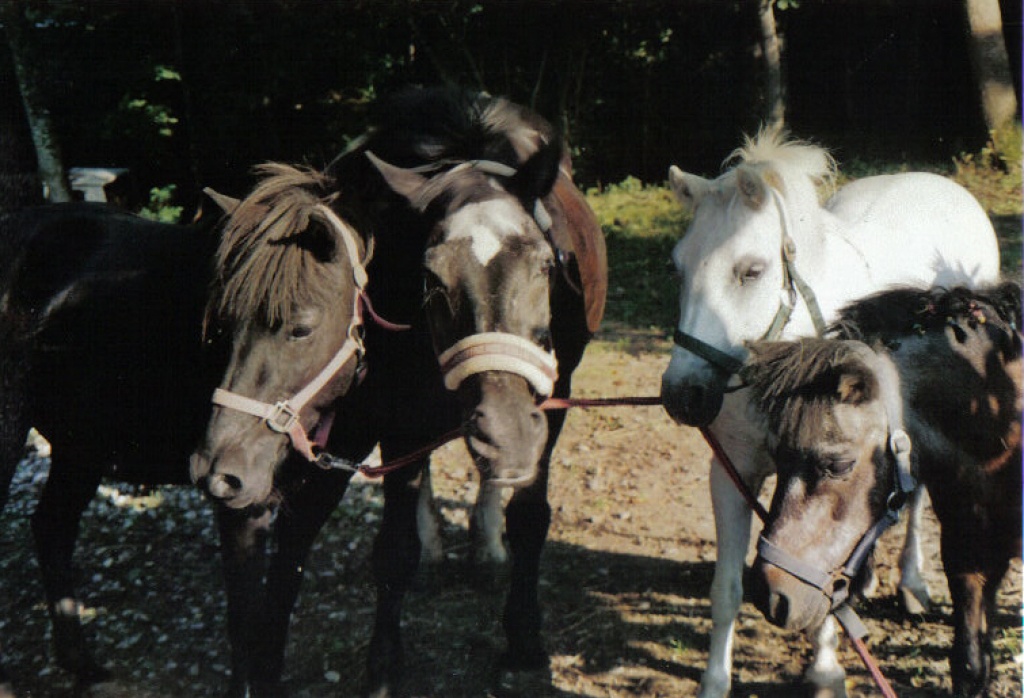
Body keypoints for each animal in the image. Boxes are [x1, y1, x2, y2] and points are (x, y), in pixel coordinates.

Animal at [0, 163, 370, 696]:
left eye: (300, 328)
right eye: (222, 325)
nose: (214, 470)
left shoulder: (315, 502)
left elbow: (276, 615)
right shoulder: (243, 509)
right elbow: (245, 624)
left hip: (81, 448)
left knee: (52, 527)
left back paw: (80, 663)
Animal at [192, 85, 607, 697]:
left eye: (545, 267)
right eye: (430, 279)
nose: (506, 432)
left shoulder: (552, 403)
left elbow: (531, 518)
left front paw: (526, 643)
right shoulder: (397, 417)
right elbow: (393, 550)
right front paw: (384, 668)